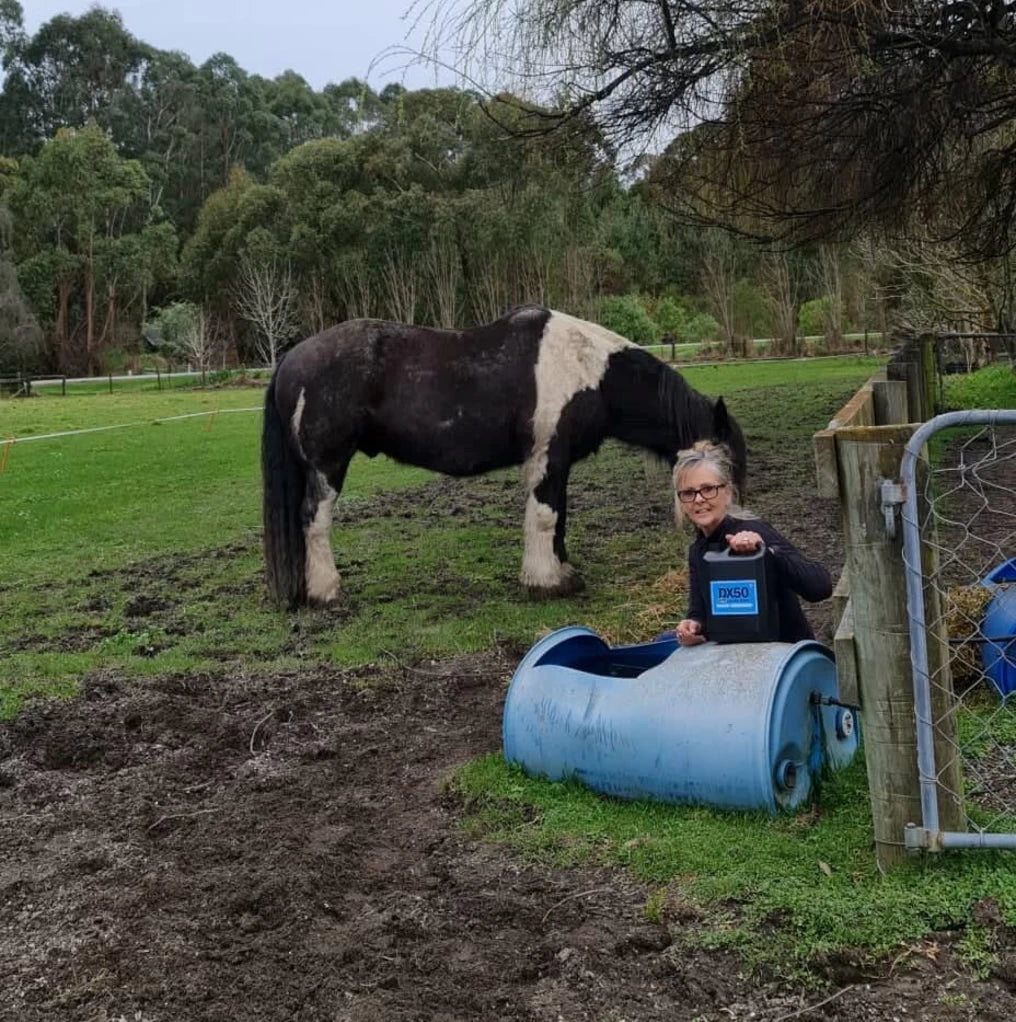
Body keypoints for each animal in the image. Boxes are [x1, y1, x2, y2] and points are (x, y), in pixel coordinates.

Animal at [257, 302, 740, 605]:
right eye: (730, 467)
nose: (730, 536)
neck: (589, 371)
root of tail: (291, 358)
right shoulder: (546, 458)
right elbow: (544, 517)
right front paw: (544, 582)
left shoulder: (558, 462)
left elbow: (559, 516)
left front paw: (561, 573)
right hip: (328, 467)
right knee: (314, 521)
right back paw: (326, 591)